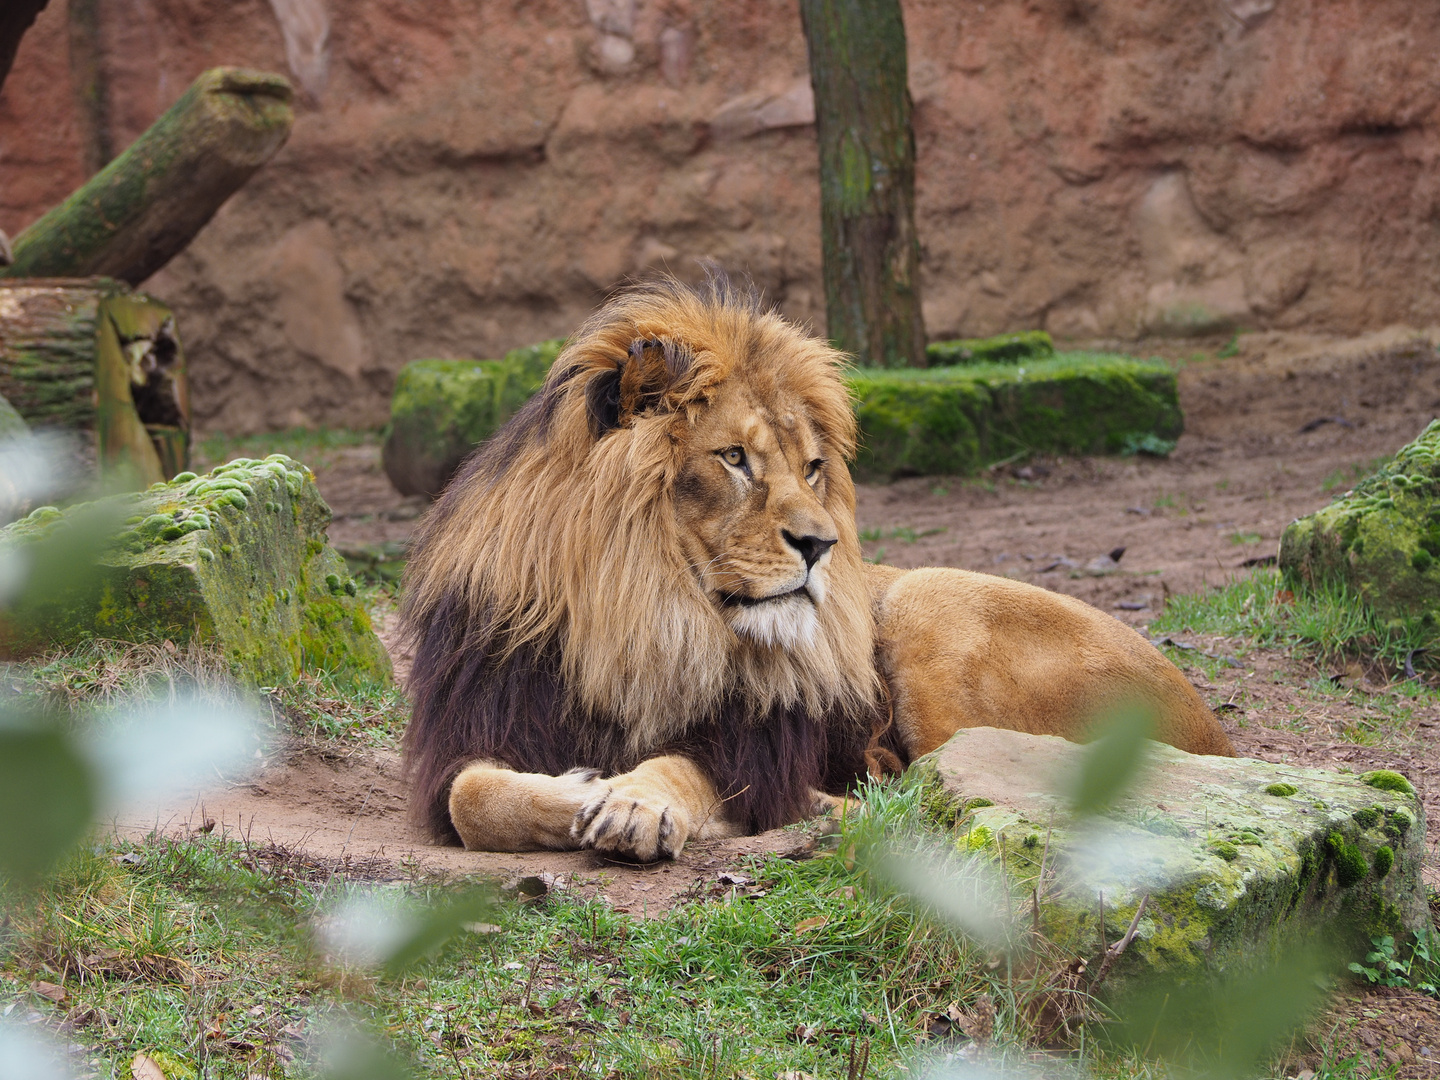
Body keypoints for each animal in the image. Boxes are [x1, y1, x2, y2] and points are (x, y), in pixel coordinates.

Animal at [400, 276, 1232, 864]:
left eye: (810, 468)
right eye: (735, 458)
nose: (821, 544)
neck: (640, 616)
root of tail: (1219, 735)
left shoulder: (756, 744)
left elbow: (684, 766)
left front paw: (636, 801)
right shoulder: (486, 714)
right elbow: (471, 797)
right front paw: (576, 787)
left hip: (926, 599)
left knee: (939, 790)